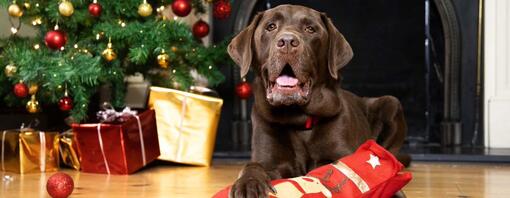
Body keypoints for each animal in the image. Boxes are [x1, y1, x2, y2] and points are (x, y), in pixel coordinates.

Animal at [227, 4, 406, 198]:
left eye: (310, 29)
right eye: (271, 26)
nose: (287, 42)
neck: (298, 120)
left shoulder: (342, 155)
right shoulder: (270, 160)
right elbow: (252, 166)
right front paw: (248, 183)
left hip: (391, 103)